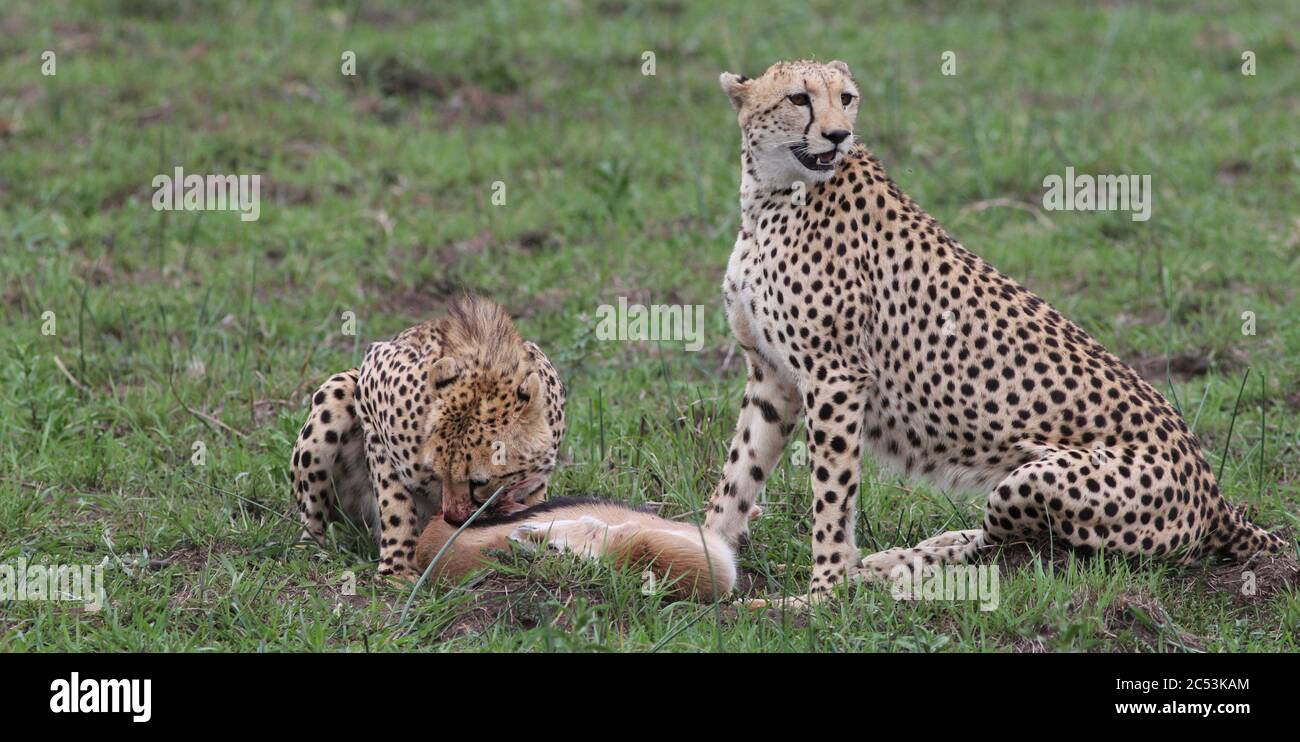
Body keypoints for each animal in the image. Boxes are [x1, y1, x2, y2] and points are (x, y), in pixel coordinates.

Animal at [292, 296, 566, 579]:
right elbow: (395, 503)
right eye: (439, 472)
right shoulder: (371, 397)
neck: (489, 364)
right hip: (338, 391)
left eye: (479, 482)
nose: (452, 518)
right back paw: (313, 548)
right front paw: (397, 569)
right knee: (312, 513)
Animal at [707, 56, 1284, 602]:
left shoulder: (836, 377)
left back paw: (886, 570)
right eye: (798, 98)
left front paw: (823, 594)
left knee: (999, 541)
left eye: (845, 98)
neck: (771, 194)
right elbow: (738, 474)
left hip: (1033, 479)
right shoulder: (773, 376)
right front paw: (707, 554)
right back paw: (888, 561)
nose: (837, 135)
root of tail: (1213, 491)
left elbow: (831, 496)